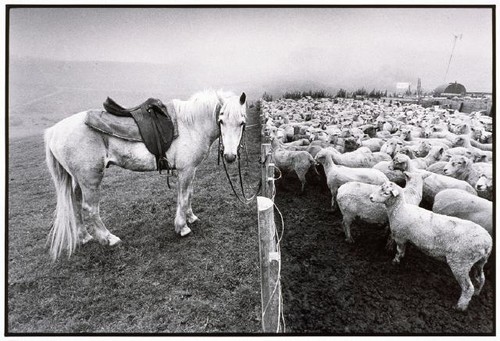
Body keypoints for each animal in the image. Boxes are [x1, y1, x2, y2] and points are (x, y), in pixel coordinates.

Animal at [44, 89, 247, 258]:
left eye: (242, 123)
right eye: (221, 121)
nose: (230, 156)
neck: (191, 125)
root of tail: (53, 131)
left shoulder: (191, 170)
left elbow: (189, 194)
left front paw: (191, 217)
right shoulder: (186, 170)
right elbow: (182, 197)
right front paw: (182, 227)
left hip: (77, 179)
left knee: (76, 203)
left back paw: (84, 236)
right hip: (90, 178)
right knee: (90, 208)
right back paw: (109, 238)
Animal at [368, 182, 492, 310]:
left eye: (386, 193)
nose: (370, 197)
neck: (400, 210)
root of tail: (487, 242)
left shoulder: (400, 237)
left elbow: (399, 251)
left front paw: (395, 262)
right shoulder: (404, 237)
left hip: (460, 262)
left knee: (468, 287)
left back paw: (460, 307)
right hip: (479, 262)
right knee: (481, 279)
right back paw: (477, 293)